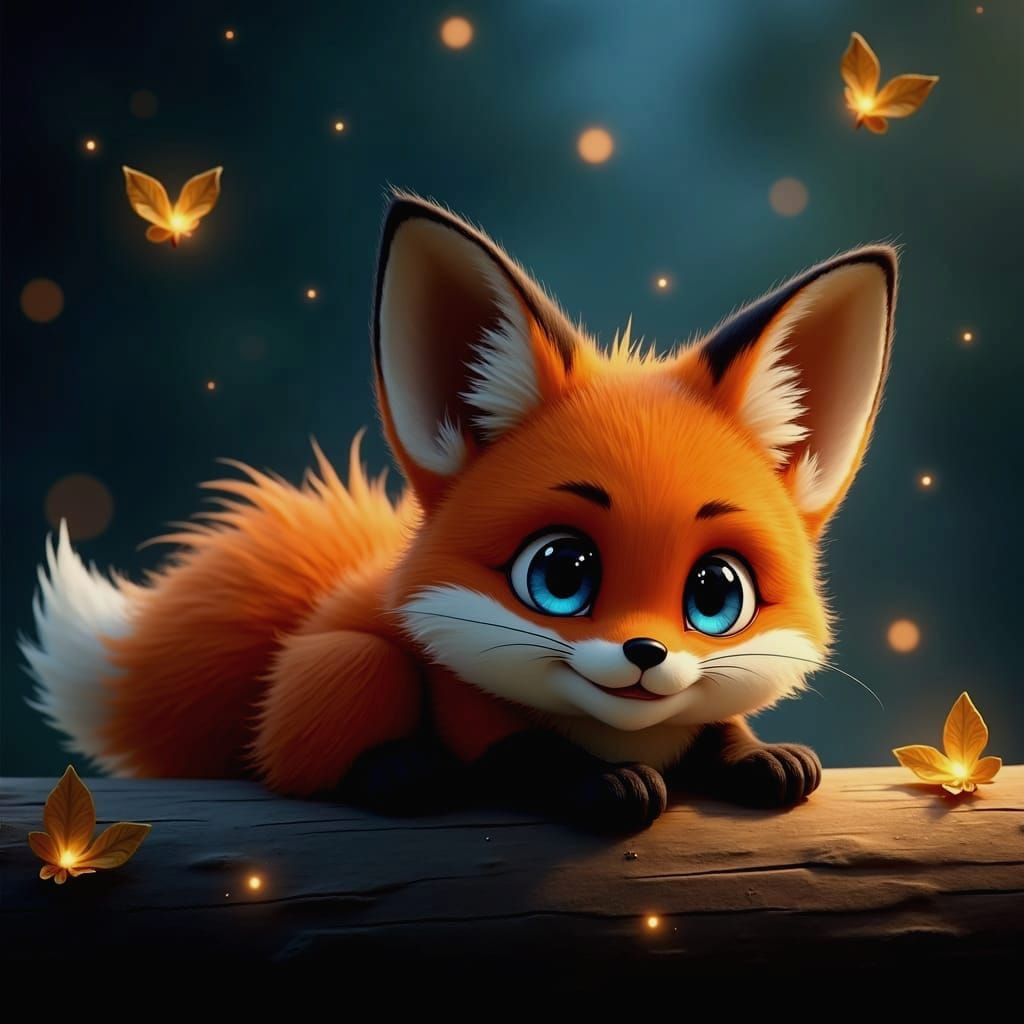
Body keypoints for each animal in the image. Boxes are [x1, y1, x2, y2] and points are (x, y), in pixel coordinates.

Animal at [22, 194, 896, 832]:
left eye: (716, 594)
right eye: (561, 574)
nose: (646, 652)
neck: (618, 733)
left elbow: (721, 733)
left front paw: (763, 759)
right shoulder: (469, 710)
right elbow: (529, 759)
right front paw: (608, 786)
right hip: (346, 661)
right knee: (291, 761)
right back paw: (400, 772)